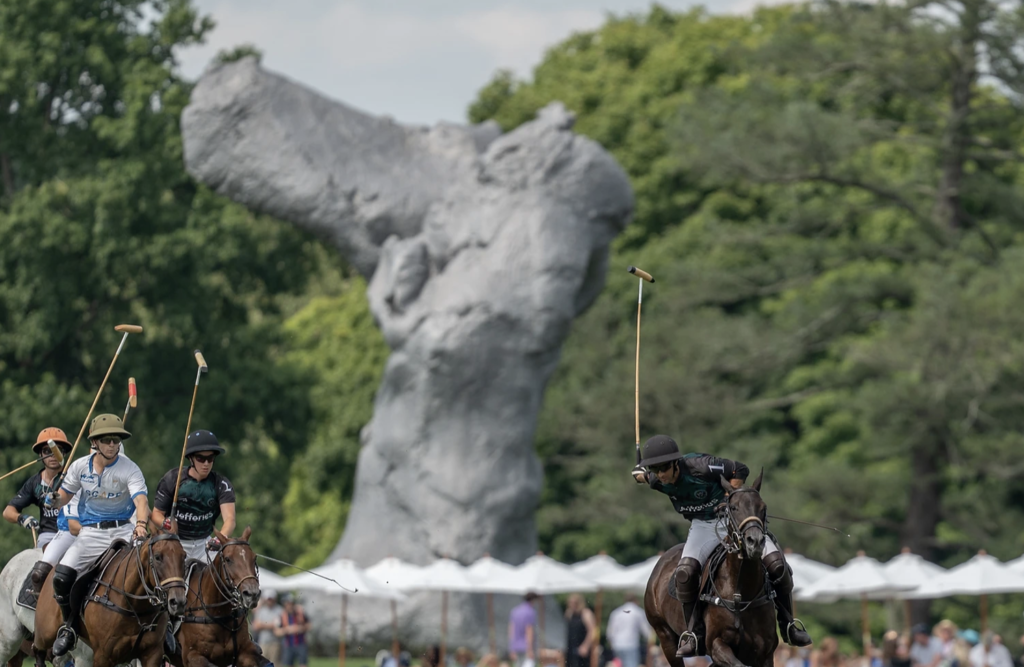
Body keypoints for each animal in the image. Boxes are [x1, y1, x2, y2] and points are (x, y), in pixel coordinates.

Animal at [33, 532, 189, 667]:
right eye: (157, 557)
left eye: (184, 557)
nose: (178, 602)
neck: (134, 607)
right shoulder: (103, 656)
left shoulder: (152, 654)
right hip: (45, 632)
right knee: (38, 649)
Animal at [166, 528, 268, 667]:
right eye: (228, 559)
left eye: (254, 557)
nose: (252, 594)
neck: (218, 612)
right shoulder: (191, 656)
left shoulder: (245, 652)